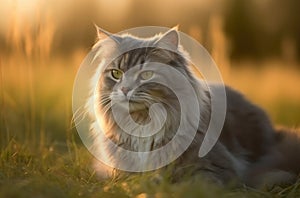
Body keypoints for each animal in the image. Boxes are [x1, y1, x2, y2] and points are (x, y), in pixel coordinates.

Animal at [85, 26, 300, 187]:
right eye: (116, 74)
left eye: (146, 75)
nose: (124, 89)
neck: (143, 124)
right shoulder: (118, 171)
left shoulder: (215, 169)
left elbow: (187, 183)